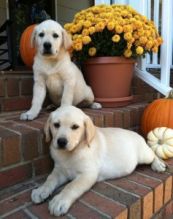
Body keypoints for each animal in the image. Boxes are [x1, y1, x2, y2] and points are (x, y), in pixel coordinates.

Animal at [31, 105, 167, 216]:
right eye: (56, 125)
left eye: (75, 127)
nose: (61, 142)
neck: (72, 152)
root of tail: (137, 135)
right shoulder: (60, 170)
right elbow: (50, 179)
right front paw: (41, 190)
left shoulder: (88, 174)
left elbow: (71, 186)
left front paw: (60, 201)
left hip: (144, 155)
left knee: (153, 153)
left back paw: (159, 164)